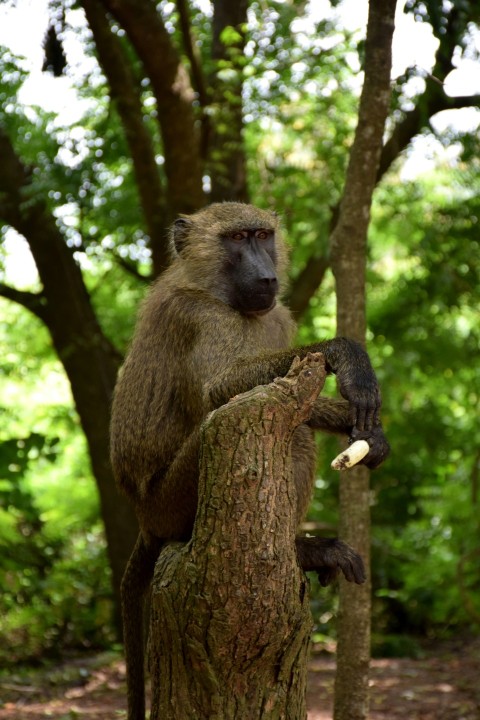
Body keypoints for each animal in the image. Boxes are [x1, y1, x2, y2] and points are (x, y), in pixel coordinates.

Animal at [110, 202, 390, 720]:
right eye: (236, 238)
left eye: (262, 235)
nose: (266, 276)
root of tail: (146, 521)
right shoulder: (198, 316)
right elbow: (221, 387)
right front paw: (347, 357)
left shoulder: (277, 315)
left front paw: (367, 430)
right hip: (173, 498)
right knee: (292, 434)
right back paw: (302, 551)